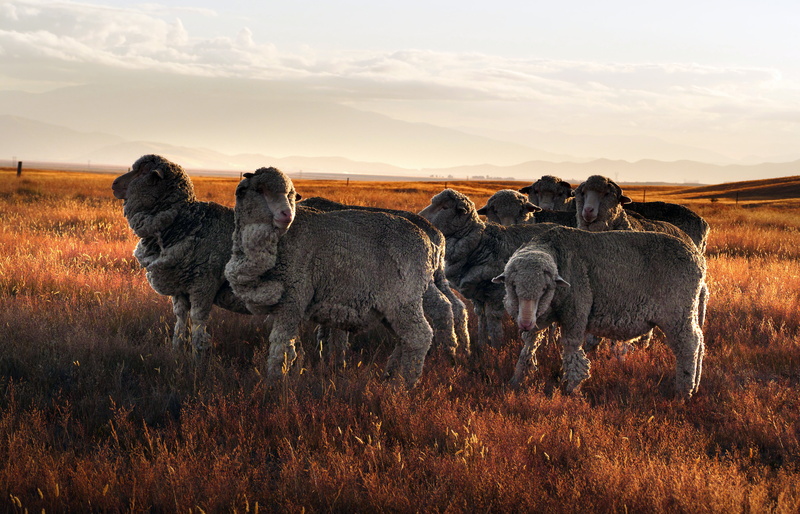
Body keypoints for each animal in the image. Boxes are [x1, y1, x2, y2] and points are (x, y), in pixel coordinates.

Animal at [111, 154, 249, 353]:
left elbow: (198, 325)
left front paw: (198, 357)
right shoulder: (180, 288)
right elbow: (180, 321)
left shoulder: (203, 285)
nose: (113, 184)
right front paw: (176, 352)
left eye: (143, 171)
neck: (188, 222)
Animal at [224, 167, 436, 387]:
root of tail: (429, 243)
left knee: (419, 337)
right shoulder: (283, 306)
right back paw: (391, 377)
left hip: (404, 298)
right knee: (404, 340)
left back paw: (404, 384)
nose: (287, 214)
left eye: (291, 195)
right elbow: (292, 347)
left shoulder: (293, 299)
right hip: (389, 309)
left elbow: (280, 348)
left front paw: (274, 383)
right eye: (260, 190)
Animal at [418, 188, 557, 349]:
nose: (420, 218)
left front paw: (496, 347)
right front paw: (482, 345)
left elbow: (493, 320)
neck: (480, 243)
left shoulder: (495, 292)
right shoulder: (477, 294)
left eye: (445, 207)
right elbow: (481, 316)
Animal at [492, 225, 707, 399]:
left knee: (689, 345)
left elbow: (572, 350)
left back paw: (684, 390)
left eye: (545, 289)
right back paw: (695, 384)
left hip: (677, 311)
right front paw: (517, 380)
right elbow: (528, 347)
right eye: (512, 286)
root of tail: (698, 260)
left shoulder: (576, 311)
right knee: (699, 340)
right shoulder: (541, 317)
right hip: (689, 310)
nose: (525, 323)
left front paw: (572, 390)